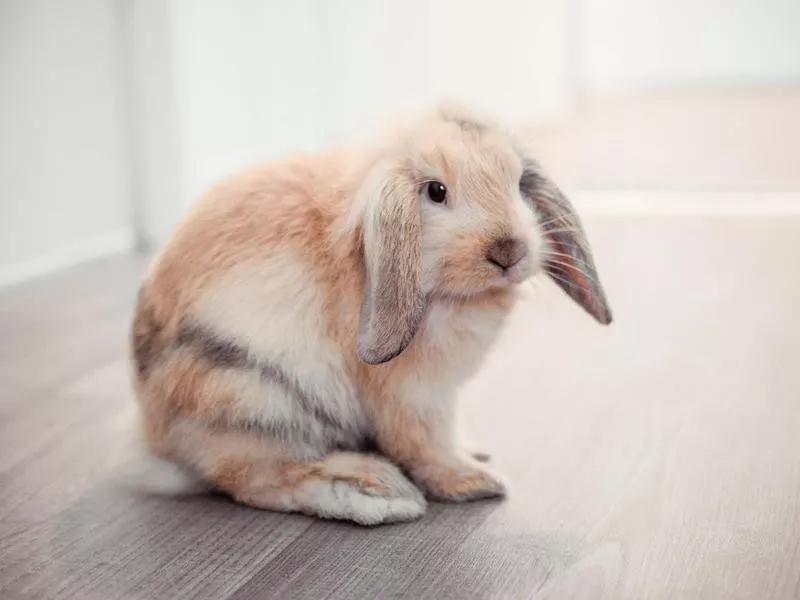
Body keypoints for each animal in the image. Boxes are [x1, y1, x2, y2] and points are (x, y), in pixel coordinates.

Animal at [130, 104, 612, 524]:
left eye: (517, 182)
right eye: (435, 191)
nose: (509, 251)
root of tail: (154, 440)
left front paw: (474, 454)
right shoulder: (415, 393)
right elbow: (426, 443)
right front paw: (474, 480)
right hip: (253, 396)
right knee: (253, 475)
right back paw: (375, 490)